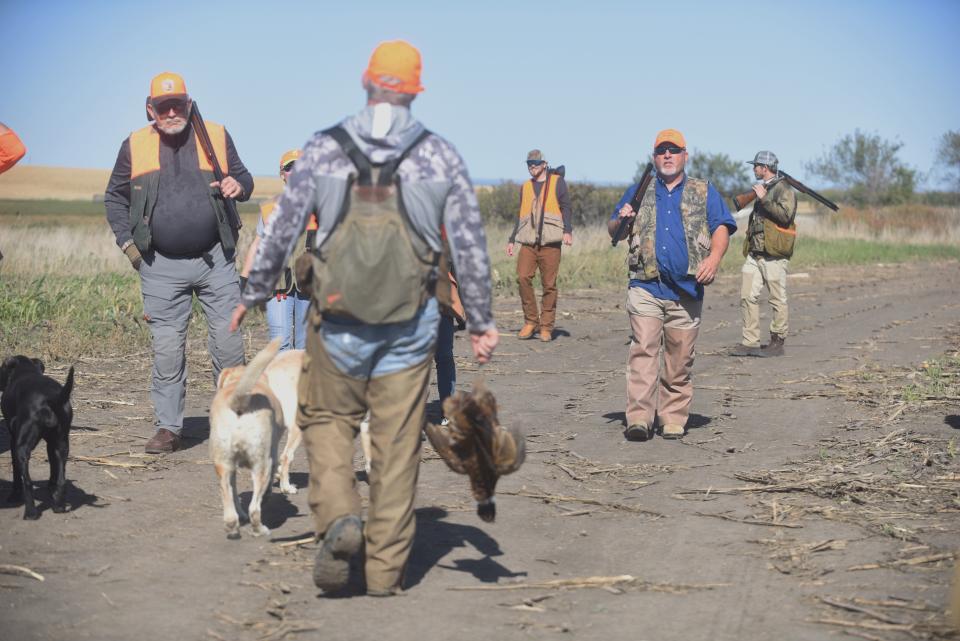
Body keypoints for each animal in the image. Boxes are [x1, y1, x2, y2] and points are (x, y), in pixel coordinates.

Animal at [0, 358, 74, 516]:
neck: (26, 370)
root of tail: (51, 399)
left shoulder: (13, 440)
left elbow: (16, 472)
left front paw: (14, 496)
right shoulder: (51, 444)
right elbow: (53, 467)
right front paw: (51, 487)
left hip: (22, 448)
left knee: (27, 481)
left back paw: (31, 512)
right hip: (62, 444)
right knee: (62, 480)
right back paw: (58, 506)